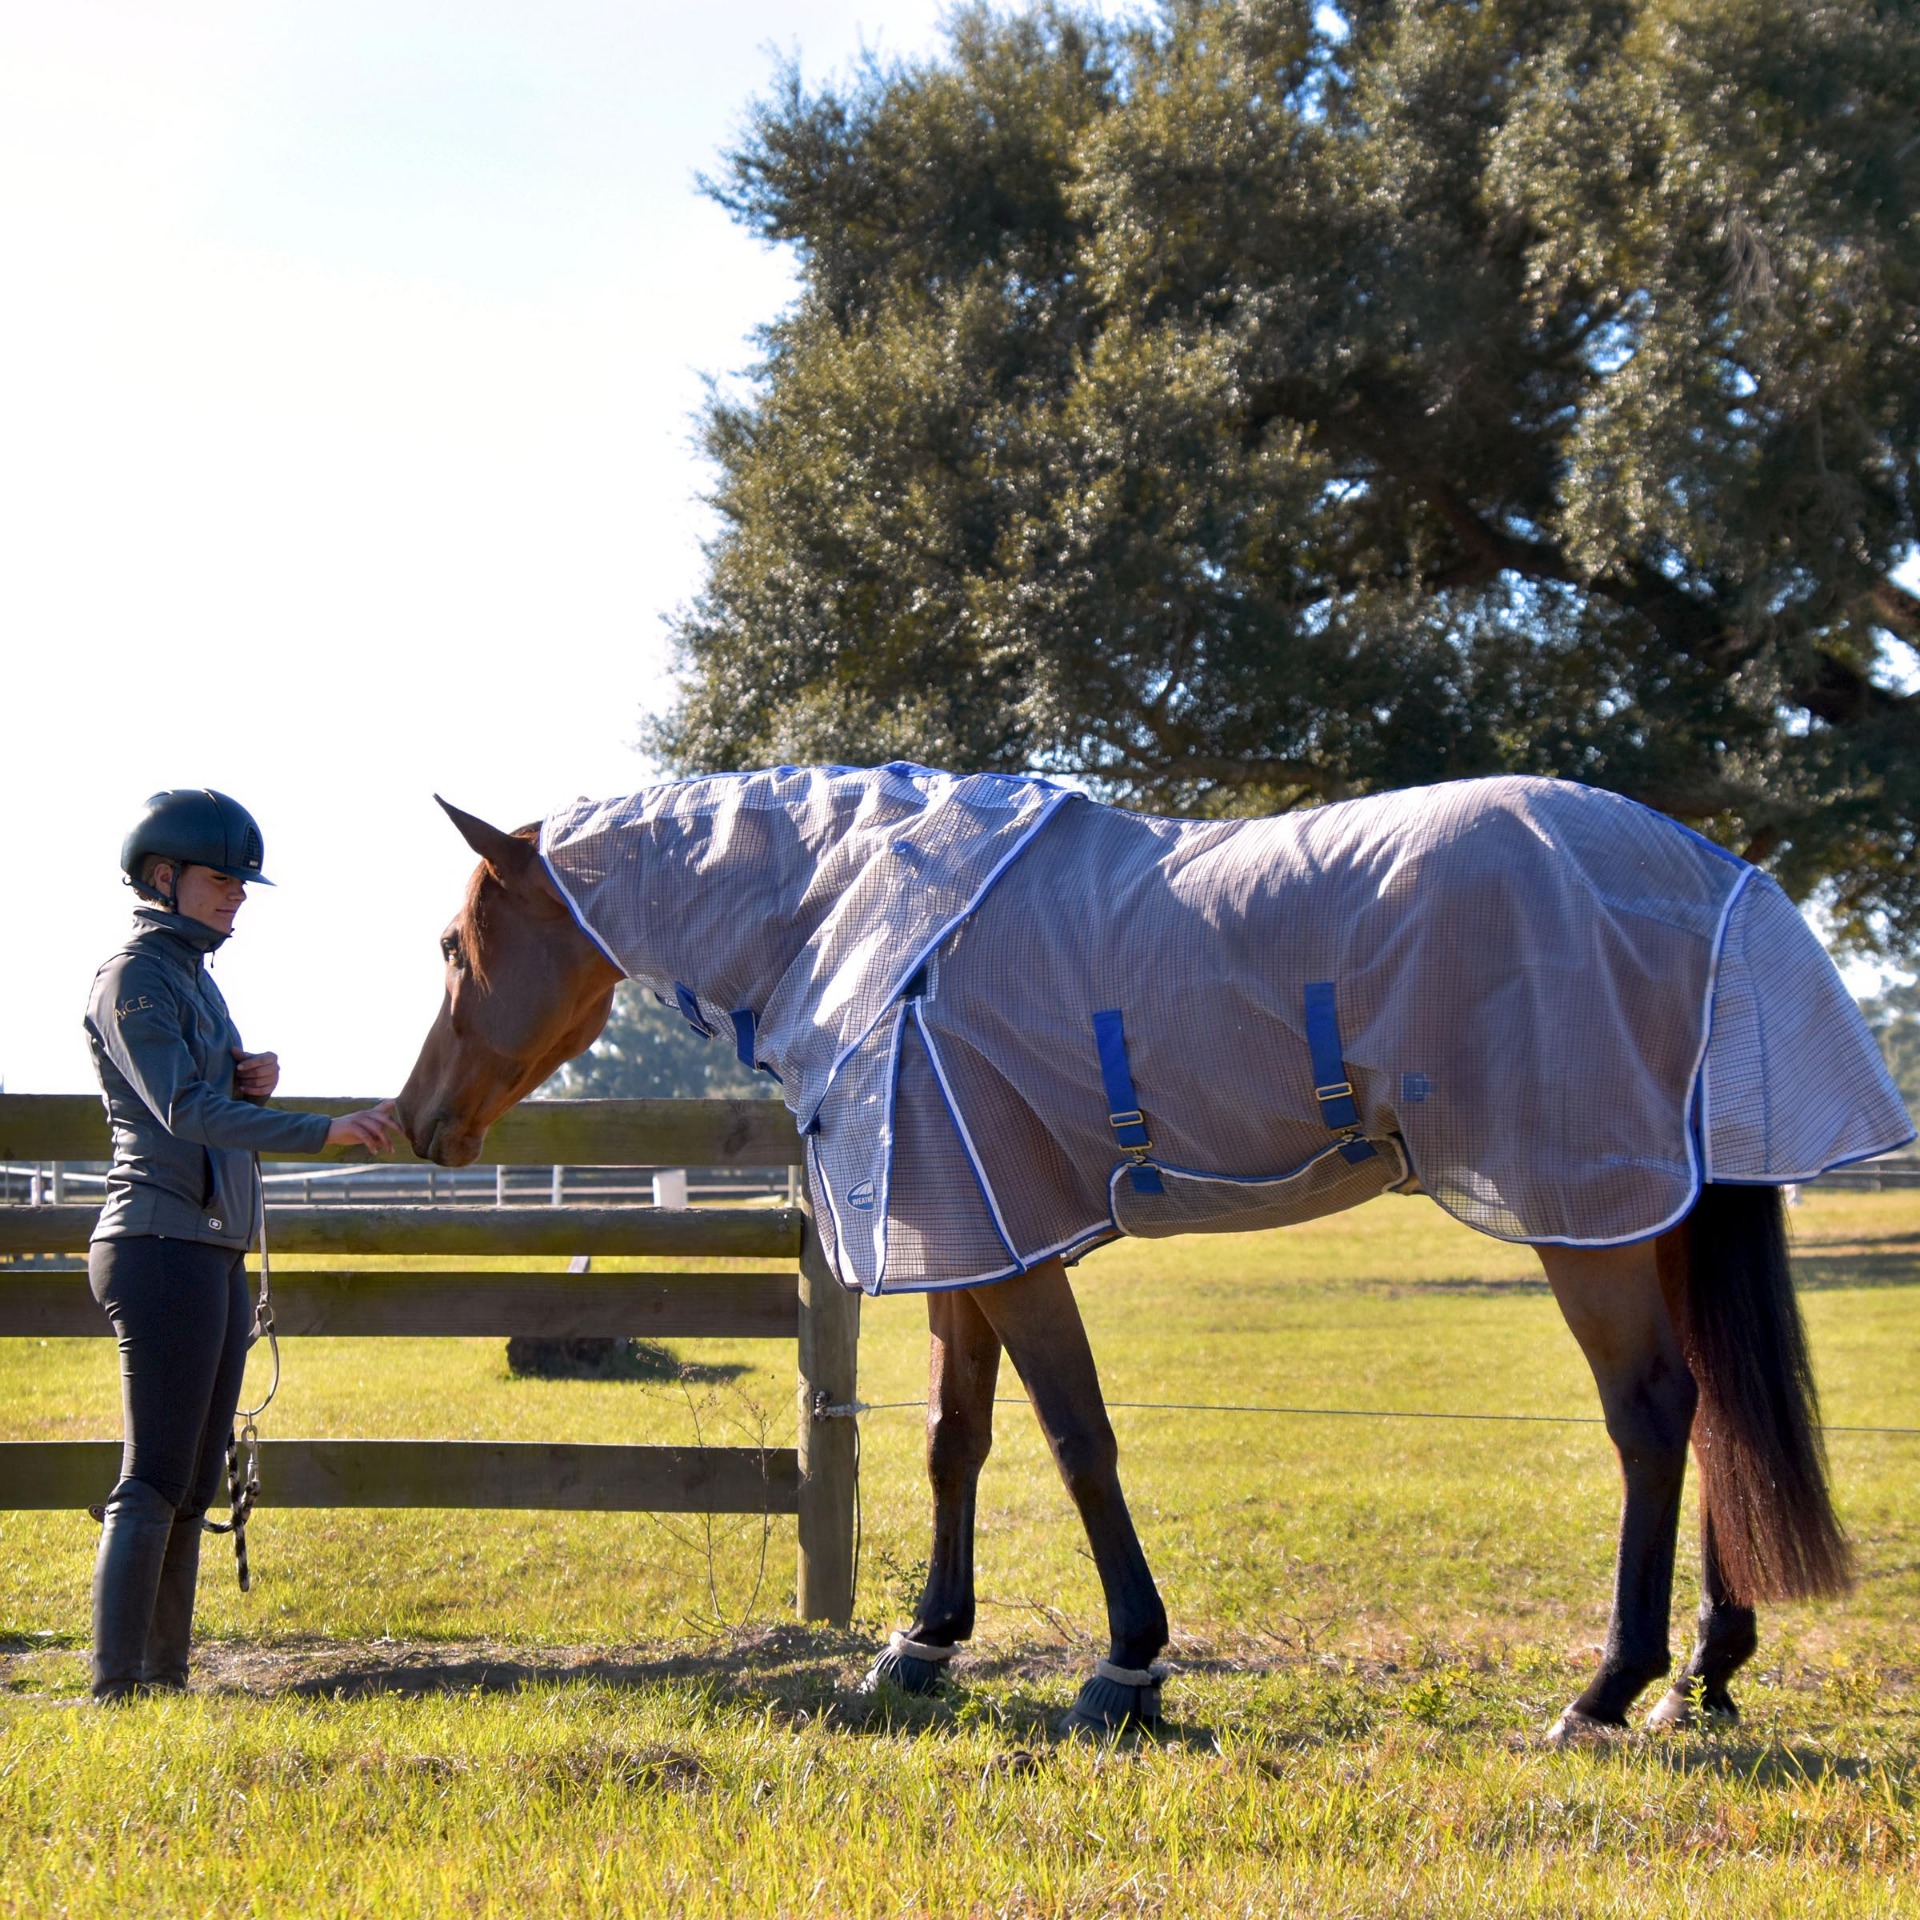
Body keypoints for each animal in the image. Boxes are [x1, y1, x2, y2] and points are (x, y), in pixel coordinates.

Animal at [397, 794, 1850, 1743]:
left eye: (457, 945)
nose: (421, 1123)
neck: (863, 917)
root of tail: (1710, 871)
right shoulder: (965, 1229)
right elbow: (956, 1439)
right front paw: (920, 1644)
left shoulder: (1005, 1242)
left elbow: (1074, 1436)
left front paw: (1128, 1665)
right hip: (1652, 1213)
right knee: (1716, 1412)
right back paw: (1702, 1680)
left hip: (1583, 1213)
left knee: (1654, 1414)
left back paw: (1607, 1689)